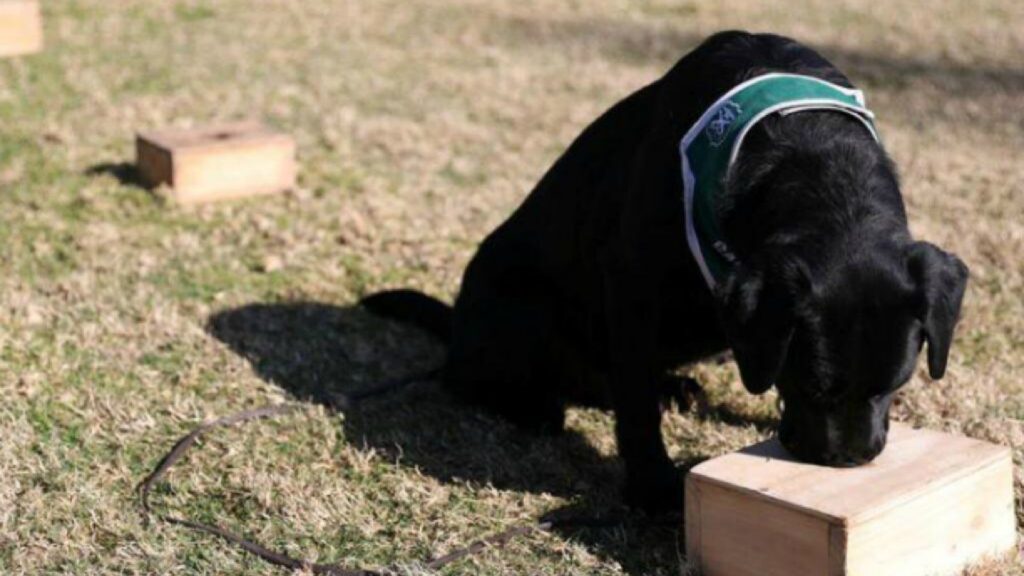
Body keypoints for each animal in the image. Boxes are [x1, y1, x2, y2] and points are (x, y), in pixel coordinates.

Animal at [362, 30, 966, 510]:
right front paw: (654, 491)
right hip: (523, 304)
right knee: (484, 378)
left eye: (897, 384)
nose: (848, 459)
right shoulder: (630, 280)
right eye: (813, 383)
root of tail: (457, 327)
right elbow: (635, 406)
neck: (813, 156)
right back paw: (537, 405)